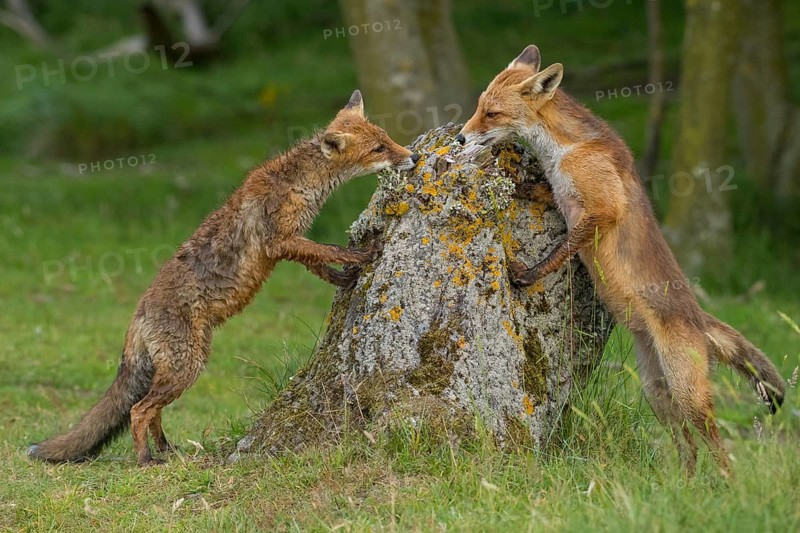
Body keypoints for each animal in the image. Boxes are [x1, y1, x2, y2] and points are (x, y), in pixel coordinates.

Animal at [29, 90, 419, 467]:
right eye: (379, 149)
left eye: (387, 138)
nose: (413, 156)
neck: (299, 181)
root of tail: (137, 316)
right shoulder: (280, 240)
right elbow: (332, 249)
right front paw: (365, 255)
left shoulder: (289, 245)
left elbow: (320, 265)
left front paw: (345, 279)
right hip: (188, 365)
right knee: (139, 410)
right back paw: (145, 459)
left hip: (182, 365)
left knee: (152, 411)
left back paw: (167, 450)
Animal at [456, 45, 785, 477]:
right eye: (479, 106)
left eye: (491, 113)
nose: (460, 137)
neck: (565, 149)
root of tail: (699, 317)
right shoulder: (566, 197)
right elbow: (544, 196)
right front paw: (520, 186)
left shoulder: (602, 211)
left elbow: (561, 250)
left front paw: (527, 275)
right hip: (657, 393)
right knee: (688, 448)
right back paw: (684, 486)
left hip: (688, 393)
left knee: (717, 448)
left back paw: (723, 488)